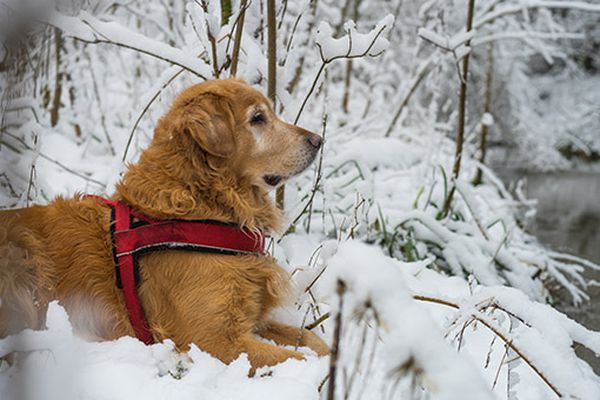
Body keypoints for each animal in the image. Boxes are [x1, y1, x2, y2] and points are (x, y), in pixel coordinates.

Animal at [0, 78, 328, 372]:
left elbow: (313, 340)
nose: (318, 140)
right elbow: (298, 360)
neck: (201, 205)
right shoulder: (215, 340)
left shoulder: (253, 318)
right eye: (258, 118)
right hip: (22, 260)